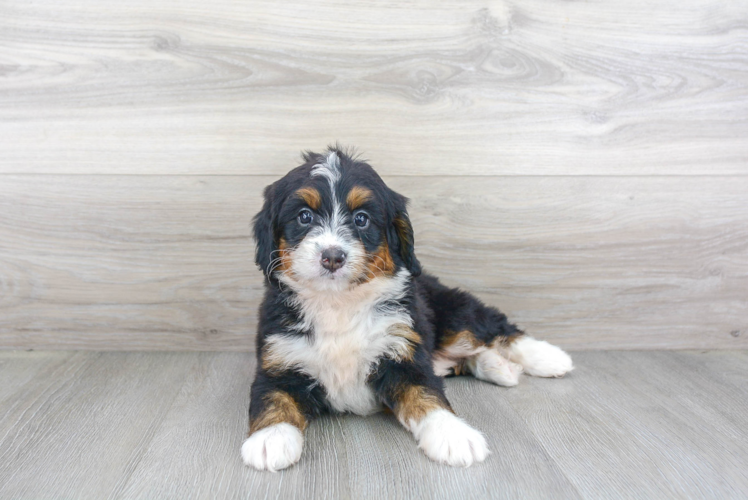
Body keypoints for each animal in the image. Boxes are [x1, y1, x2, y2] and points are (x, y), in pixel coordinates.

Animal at [241, 146, 572, 470]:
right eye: (304, 216)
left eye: (361, 219)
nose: (332, 256)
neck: (338, 302)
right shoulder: (279, 359)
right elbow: (273, 398)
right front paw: (271, 438)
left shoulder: (404, 353)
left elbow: (425, 393)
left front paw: (453, 434)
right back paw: (498, 367)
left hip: (452, 311)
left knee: (494, 329)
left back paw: (548, 357)